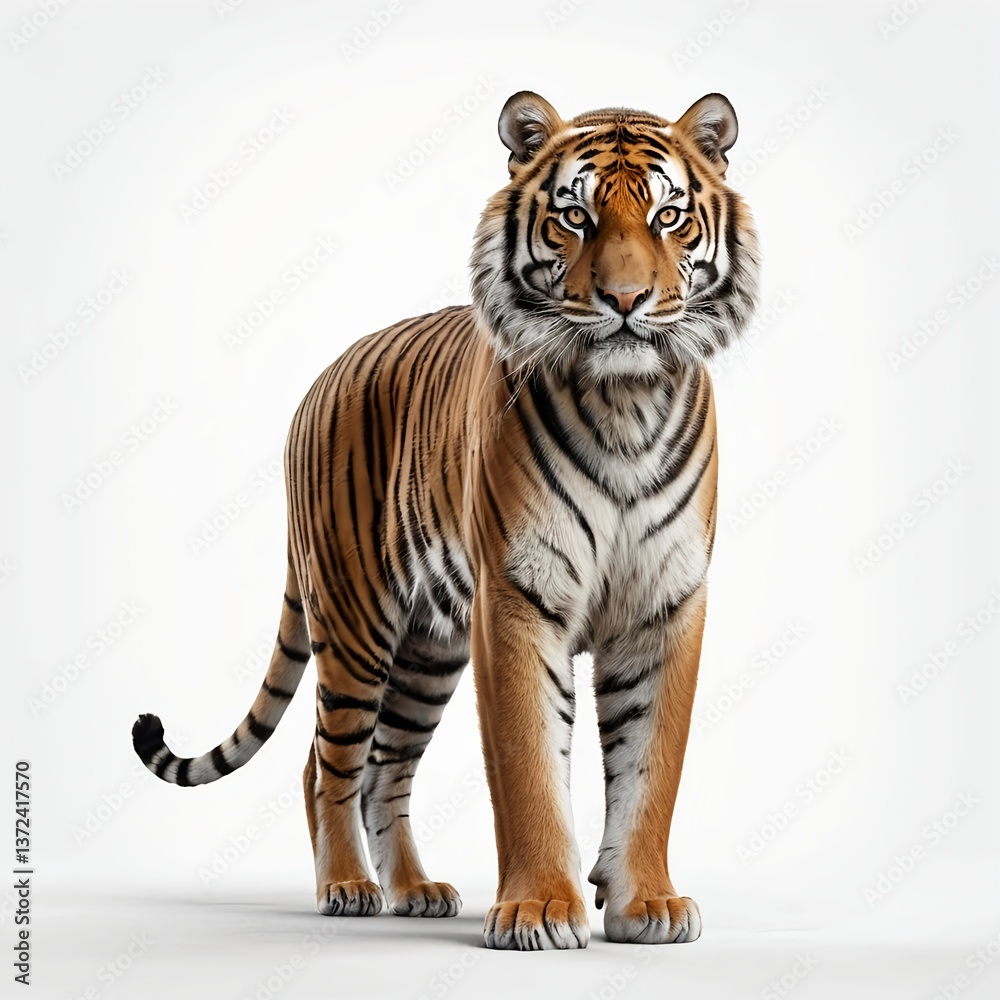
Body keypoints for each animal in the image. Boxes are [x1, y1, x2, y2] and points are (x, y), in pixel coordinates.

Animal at [132, 90, 760, 950]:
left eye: (668, 217)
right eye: (575, 216)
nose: (626, 302)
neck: (624, 400)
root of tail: (314, 385)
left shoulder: (665, 603)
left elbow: (651, 765)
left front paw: (647, 904)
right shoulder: (517, 599)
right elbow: (530, 767)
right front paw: (539, 909)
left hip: (427, 652)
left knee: (385, 769)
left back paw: (415, 889)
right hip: (355, 625)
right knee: (328, 763)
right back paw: (347, 886)